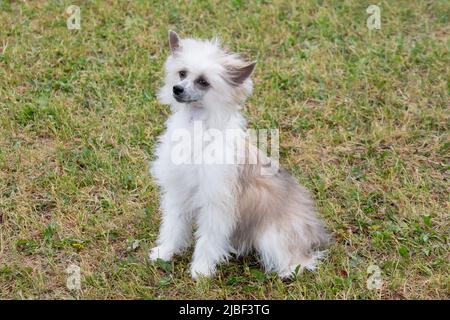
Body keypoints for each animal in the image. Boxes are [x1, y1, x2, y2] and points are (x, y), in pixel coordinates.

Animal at [149, 31, 328, 278]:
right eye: (182, 73)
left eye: (203, 82)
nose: (177, 89)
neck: (196, 127)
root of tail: (312, 228)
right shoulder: (178, 193)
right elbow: (173, 226)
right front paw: (165, 252)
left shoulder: (217, 206)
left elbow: (208, 240)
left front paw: (201, 271)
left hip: (272, 235)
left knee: (304, 260)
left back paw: (287, 271)